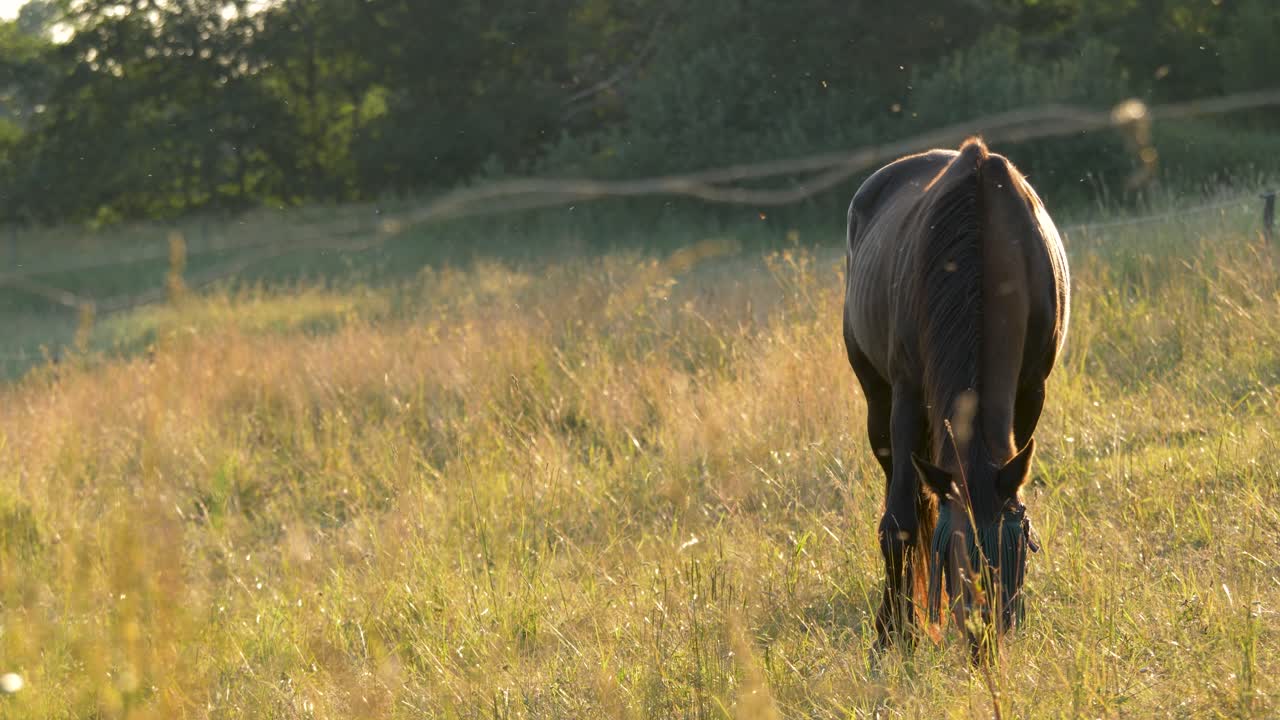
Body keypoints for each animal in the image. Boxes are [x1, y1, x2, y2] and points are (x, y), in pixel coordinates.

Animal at [841, 137, 1069, 657]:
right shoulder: (907, 394)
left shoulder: (1031, 391)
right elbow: (900, 522)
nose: (984, 640)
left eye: (1015, 547)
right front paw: (891, 636)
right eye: (954, 555)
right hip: (877, 401)